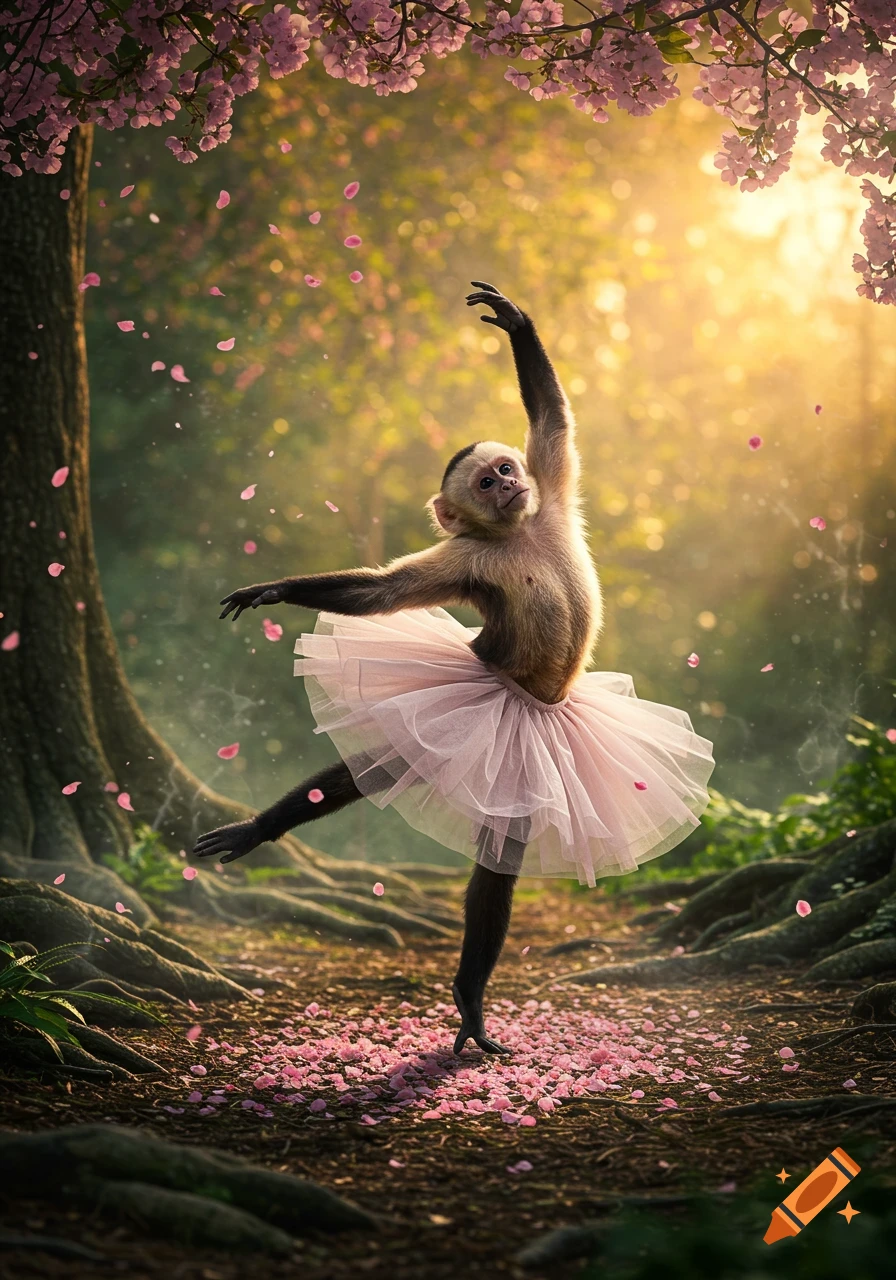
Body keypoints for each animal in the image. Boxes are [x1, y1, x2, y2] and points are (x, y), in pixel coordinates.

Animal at [194, 282, 714, 1055]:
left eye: (506, 469)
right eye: (485, 482)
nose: (506, 484)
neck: (518, 535)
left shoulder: (552, 497)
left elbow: (555, 426)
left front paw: (515, 322)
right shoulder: (468, 560)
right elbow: (383, 594)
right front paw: (278, 592)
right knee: (393, 773)